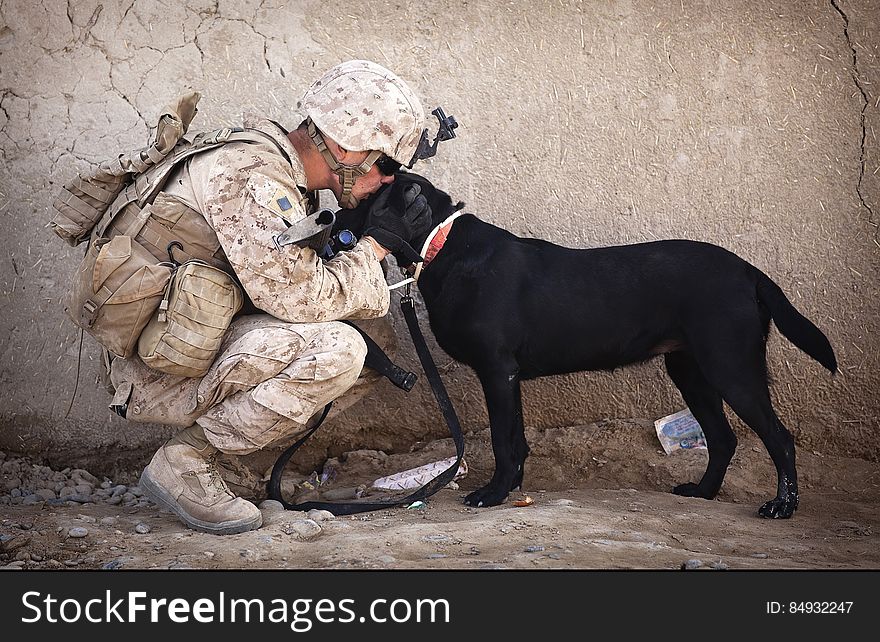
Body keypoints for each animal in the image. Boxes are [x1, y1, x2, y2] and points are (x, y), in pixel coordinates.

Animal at [338, 172, 840, 516]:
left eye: (365, 200)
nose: (329, 214)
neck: (442, 245)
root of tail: (749, 271)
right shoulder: (508, 376)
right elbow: (517, 439)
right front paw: (512, 488)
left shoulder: (497, 370)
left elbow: (503, 438)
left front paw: (493, 494)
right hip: (691, 370)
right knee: (722, 438)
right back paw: (703, 492)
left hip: (730, 366)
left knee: (779, 437)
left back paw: (782, 506)